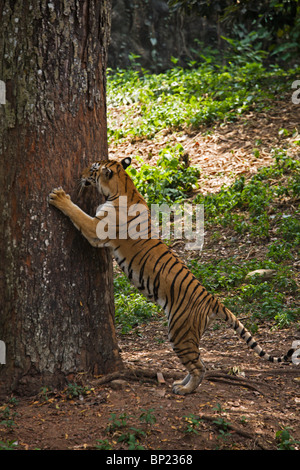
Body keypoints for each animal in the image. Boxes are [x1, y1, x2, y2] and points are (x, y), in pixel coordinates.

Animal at [49, 157, 296, 392]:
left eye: (92, 169)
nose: (81, 174)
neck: (124, 185)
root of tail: (213, 300)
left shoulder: (96, 229)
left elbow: (77, 213)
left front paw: (59, 197)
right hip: (188, 334)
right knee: (199, 363)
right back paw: (180, 383)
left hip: (179, 332)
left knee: (199, 367)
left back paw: (185, 390)